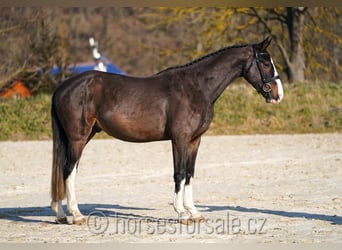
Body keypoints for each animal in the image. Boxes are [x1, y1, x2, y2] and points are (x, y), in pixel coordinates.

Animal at [50, 36, 284, 225]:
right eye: (265, 62)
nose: (278, 94)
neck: (196, 88)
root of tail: (63, 87)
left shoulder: (194, 140)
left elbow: (189, 173)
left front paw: (194, 212)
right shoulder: (179, 139)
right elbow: (178, 173)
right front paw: (181, 213)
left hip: (84, 135)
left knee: (65, 169)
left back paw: (61, 215)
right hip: (78, 137)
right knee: (68, 170)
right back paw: (76, 215)